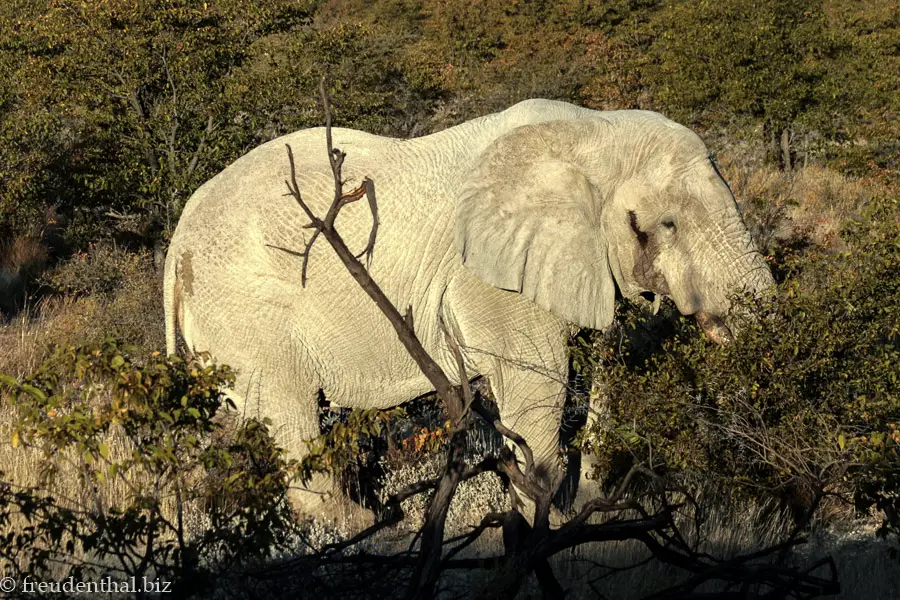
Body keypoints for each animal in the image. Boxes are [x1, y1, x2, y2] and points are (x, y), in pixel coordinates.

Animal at [165, 98, 776, 520]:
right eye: (667, 224)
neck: (595, 132)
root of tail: (174, 249)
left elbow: (609, 360)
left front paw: (589, 508)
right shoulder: (490, 282)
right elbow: (539, 385)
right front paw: (547, 524)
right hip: (250, 319)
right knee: (293, 427)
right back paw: (378, 525)